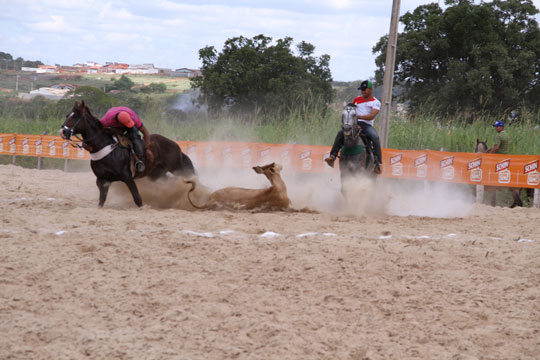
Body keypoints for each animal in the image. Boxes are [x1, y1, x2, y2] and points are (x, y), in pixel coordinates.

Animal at [61, 101, 196, 207]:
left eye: (75, 117)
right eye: (67, 115)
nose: (63, 131)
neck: (105, 147)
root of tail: (175, 145)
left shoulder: (127, 177)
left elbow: (137, 199)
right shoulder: (102, 180)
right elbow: (101, 201)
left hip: (177, 168)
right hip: (156, 174)